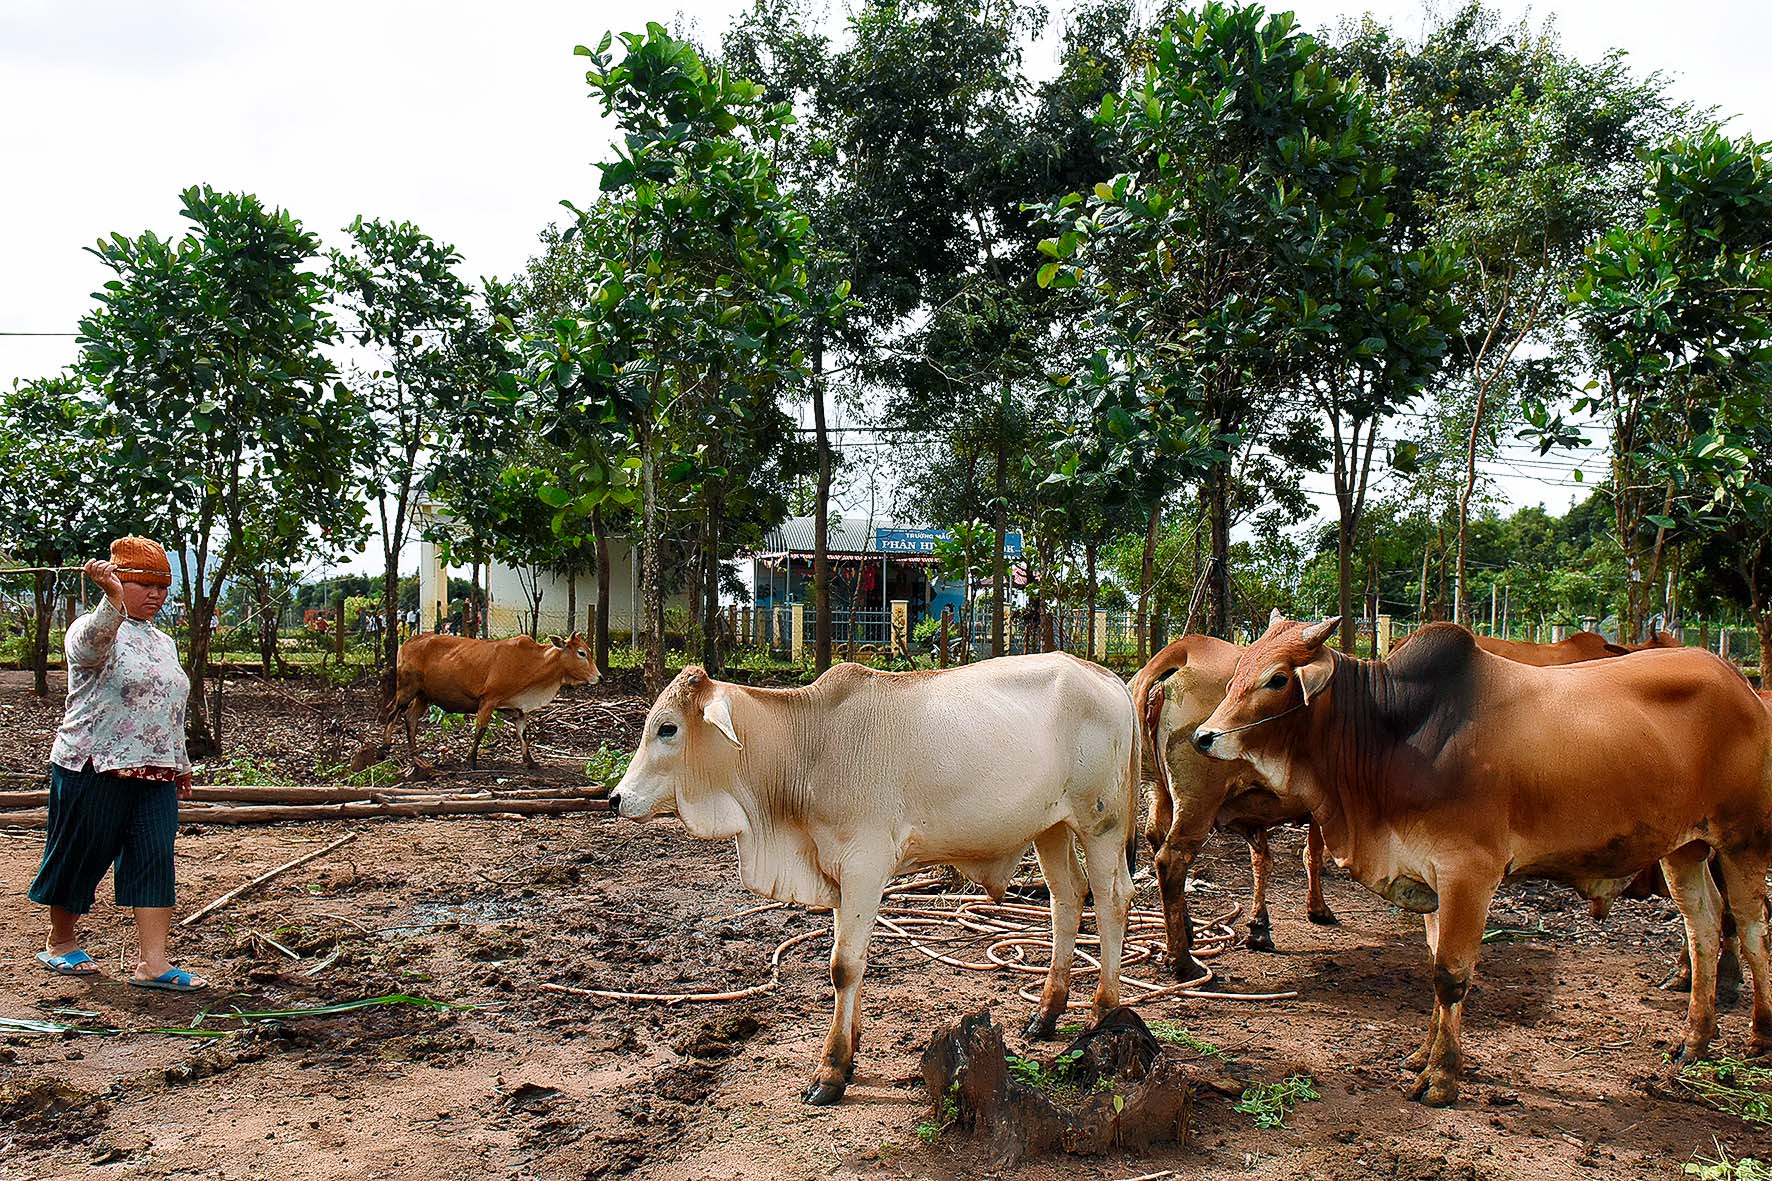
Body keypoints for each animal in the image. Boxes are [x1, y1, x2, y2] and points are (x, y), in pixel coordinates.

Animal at [386, 631, 595, 769]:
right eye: (581, 653)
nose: (598, 677)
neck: (533, 662)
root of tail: (408, 642)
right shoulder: (488, 700)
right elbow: (480, 730)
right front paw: (470, 760)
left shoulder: (518, 709)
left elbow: (523, 734)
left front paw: (530, 761)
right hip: (407, 689)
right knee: (392, 713)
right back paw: (385, 747)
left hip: (423, 695)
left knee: (410, 719)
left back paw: (416, 756)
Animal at [606, 656, 1134, 1099]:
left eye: (668, 728)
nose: (615, 799)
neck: (808, 747)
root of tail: (1108, 679)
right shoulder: (840, 875)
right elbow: (847, 960)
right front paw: (852, 1045)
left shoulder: (866, 864)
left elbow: (843, 965)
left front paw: (831, 1071)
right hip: (1051, 827)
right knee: (1067, 898)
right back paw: (1046, 1013)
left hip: (1101, 822)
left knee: (1112, 899)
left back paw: (1103, 1010)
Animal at [1190, 617, 1772, 1106]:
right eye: (1238, 670)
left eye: (1277, 680)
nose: (1203, 736)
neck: (1392, 732)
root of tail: (1740, 683)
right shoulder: (1427, 876)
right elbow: (1434, 966)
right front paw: (1422, 1056)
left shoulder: (1468, 872)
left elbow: (1451, 975)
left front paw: (1442, 1078)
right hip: (1684, 849)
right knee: (1703, 927)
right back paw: (1694, 1040)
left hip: (1743, 841)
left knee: (1749, 927)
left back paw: (1759, 1033)